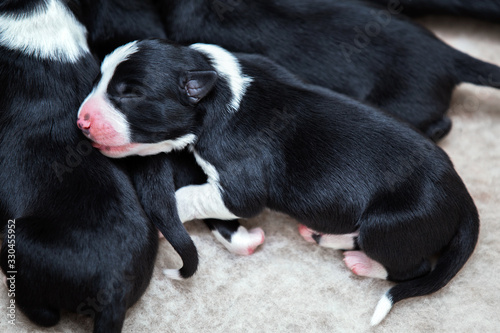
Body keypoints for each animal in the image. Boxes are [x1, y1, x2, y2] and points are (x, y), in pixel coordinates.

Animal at [76, 39, 478, 324]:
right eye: (98, 79)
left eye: (131, 93)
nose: (81, 120)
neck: (220, 88)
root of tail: (464, 201)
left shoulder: (239, 184)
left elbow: (194, 195)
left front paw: (165, 224)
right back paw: (324, 236)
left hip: (389, 224)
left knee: (410, 266)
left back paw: (361, 262)